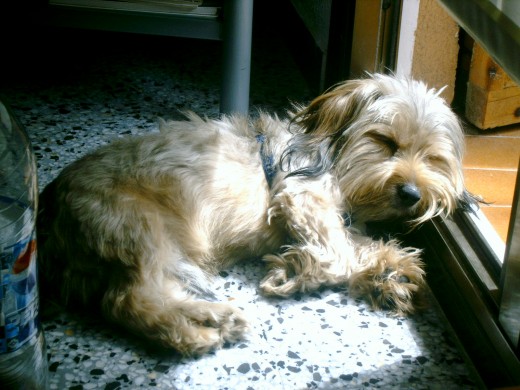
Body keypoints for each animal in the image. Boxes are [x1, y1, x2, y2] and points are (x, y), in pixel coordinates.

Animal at [36, 73, 476, 356]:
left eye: (432, 158)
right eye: (386, 142)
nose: (411, 193)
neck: (332, 155)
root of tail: (48, 214)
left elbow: (358, 246)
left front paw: (393, 273)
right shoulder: (301, 196)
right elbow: (339, 254)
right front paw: (295, 272)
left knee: (147, 294)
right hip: (140, 229)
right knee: (128, 300)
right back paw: (204, 327)